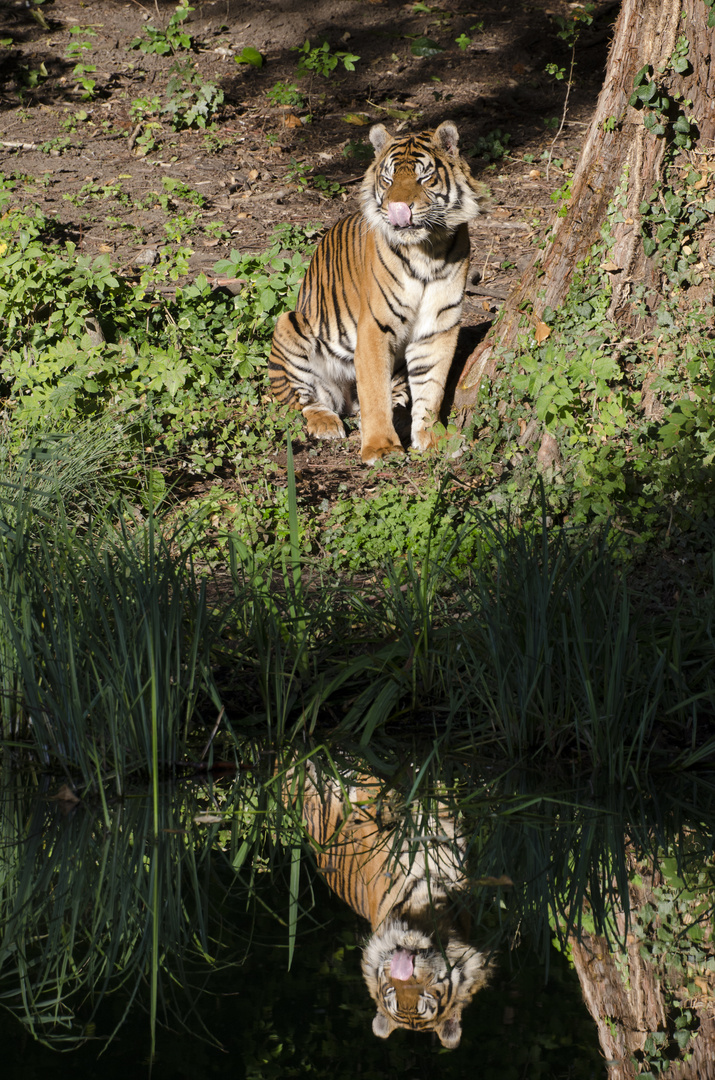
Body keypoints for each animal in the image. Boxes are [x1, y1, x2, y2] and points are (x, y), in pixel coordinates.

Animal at [268, 121, 488, 464]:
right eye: (388, 179)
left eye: (424, 177)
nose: (399, 209)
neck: (427, 251)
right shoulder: (375, 326)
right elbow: (373, 391)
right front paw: (381, 447)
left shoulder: (438, 327)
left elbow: (431, 387)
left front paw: (432, 438)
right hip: (290, 323)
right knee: (301, 401)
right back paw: (325, 422)